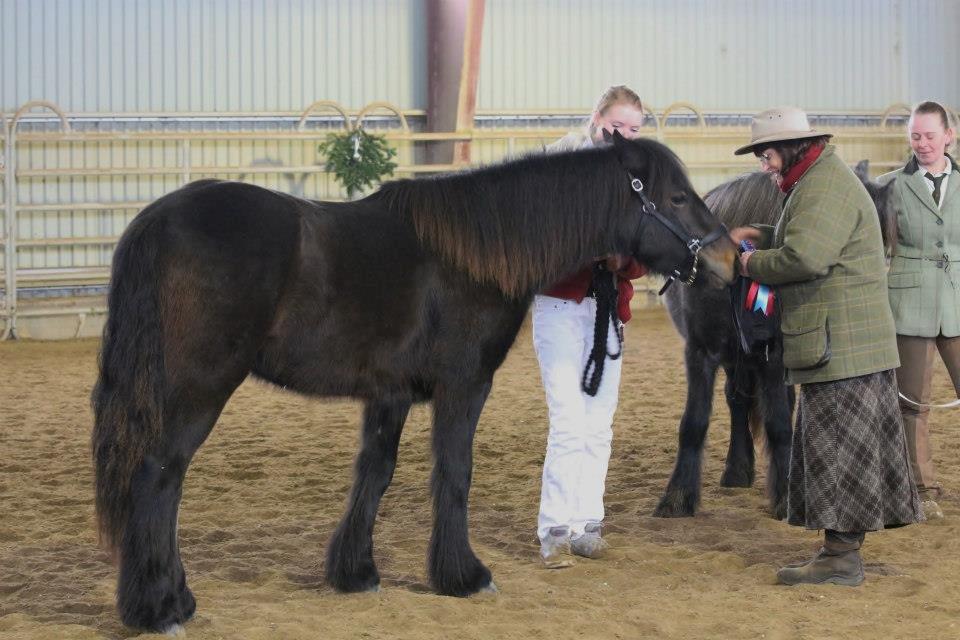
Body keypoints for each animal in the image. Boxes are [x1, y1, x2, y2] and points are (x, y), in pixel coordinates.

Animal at [91, 132, 738, 633]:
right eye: (676, 196)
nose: (731, 260)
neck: (476, 254)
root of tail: (155, 222)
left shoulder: (390, 394)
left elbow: (374, 474)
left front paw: (355, 573)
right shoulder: (464, 385)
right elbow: (454, 473)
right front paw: (464, 576)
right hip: (198, 388)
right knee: (159, 477)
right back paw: (162, 608)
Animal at [654, 163, 896, 519]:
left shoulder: (774, 356)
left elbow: (779, 424)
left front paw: (785, 498)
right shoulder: (700, 352)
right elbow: (693, 423)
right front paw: (677, 498)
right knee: (737, 401)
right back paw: (736, 471)